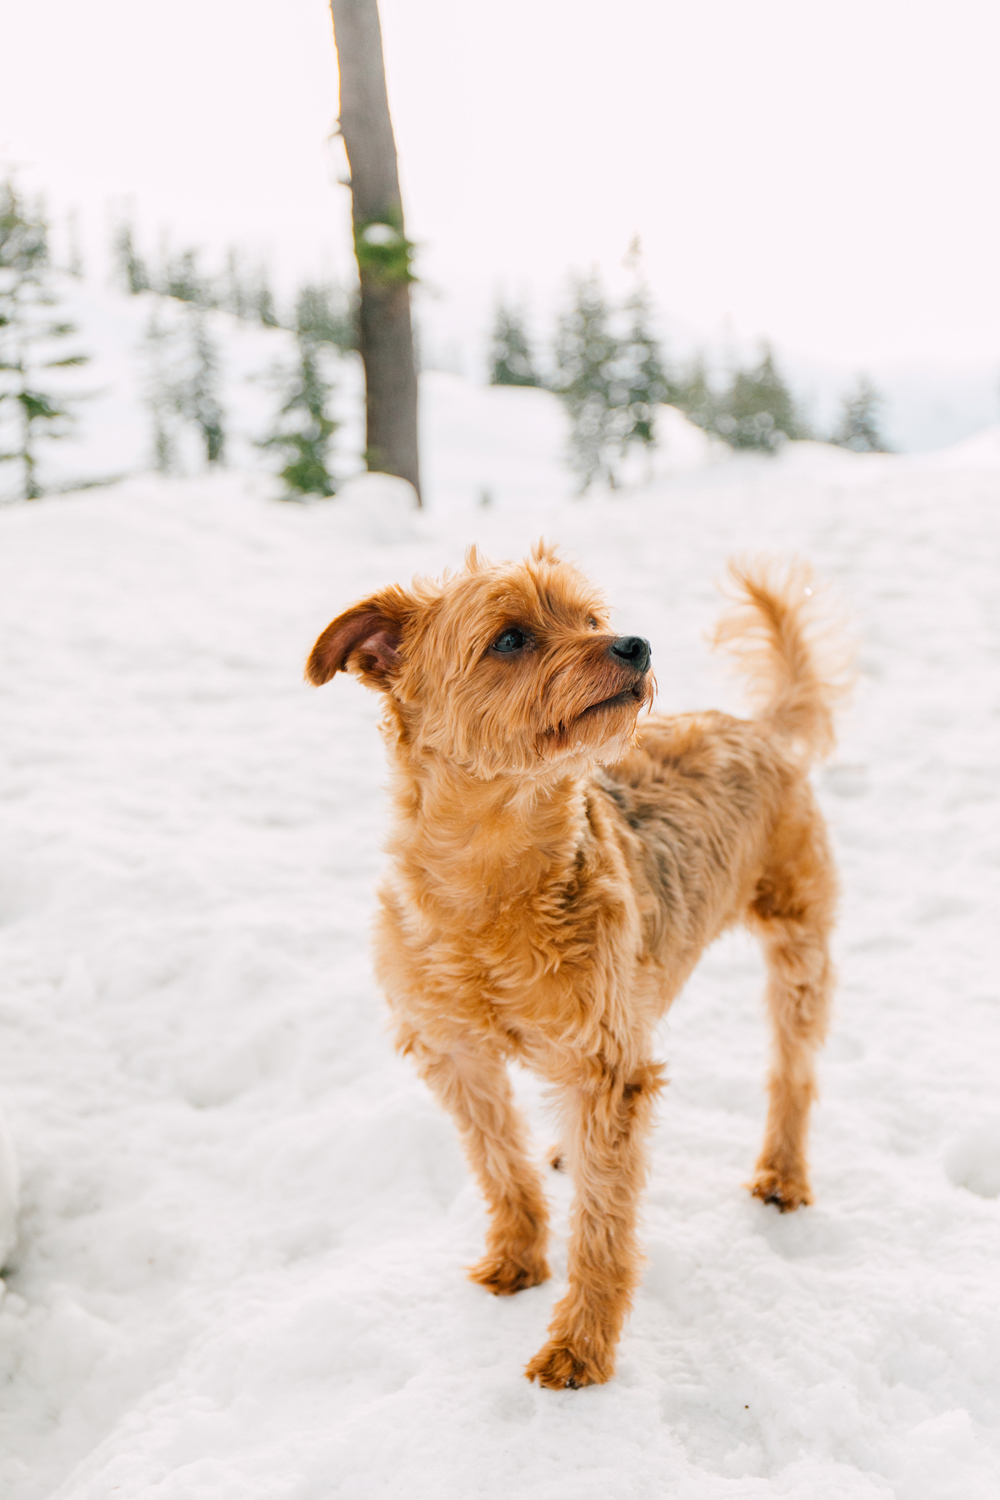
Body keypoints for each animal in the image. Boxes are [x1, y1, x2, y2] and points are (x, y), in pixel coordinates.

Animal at [305, 546, 845, 1386]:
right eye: (510, 639)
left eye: (590, 618)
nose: (635, 644)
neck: (494, 877)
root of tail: (756, 728)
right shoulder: (455, 1055)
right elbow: (501, 1165)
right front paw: (518, 1257)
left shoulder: (604, 1060)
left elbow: (602, 1224)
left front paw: (581, 1346)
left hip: (797, 944)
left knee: (793, 1069)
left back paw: (783, 1174)